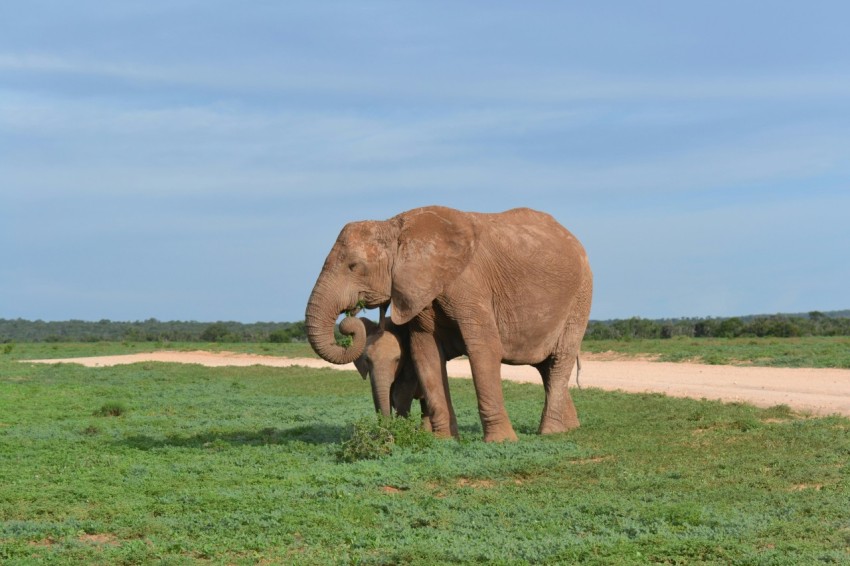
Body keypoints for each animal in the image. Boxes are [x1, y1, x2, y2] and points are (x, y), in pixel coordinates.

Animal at [304, 206, 588, 442]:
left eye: (354, 266)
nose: (348, 319)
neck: (397, 229)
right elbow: (425, 352)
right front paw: (443, 440)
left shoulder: (470, 283)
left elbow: (484, 348)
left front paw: (502, 442)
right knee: (546, 366)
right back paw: (570, 428)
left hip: (580, 297)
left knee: (560, 358)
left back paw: (550, 432)